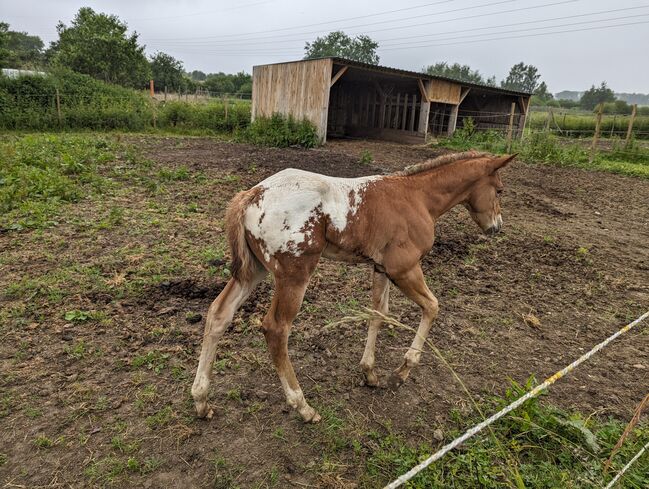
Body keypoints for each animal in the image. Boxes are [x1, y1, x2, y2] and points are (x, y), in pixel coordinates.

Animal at [190, 151, 512, 422]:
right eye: (499, 190)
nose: (496, 227)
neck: (417, 197)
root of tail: (251, 194)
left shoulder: (381, 268)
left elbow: (378, 313)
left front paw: (370, 373)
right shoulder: (404, 269)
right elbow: (432, 307)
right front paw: (402, 371)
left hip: (253, 270)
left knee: (219, 314)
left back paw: (201, 401)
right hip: (294, 275)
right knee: (276, 329)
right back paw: (303, 407)